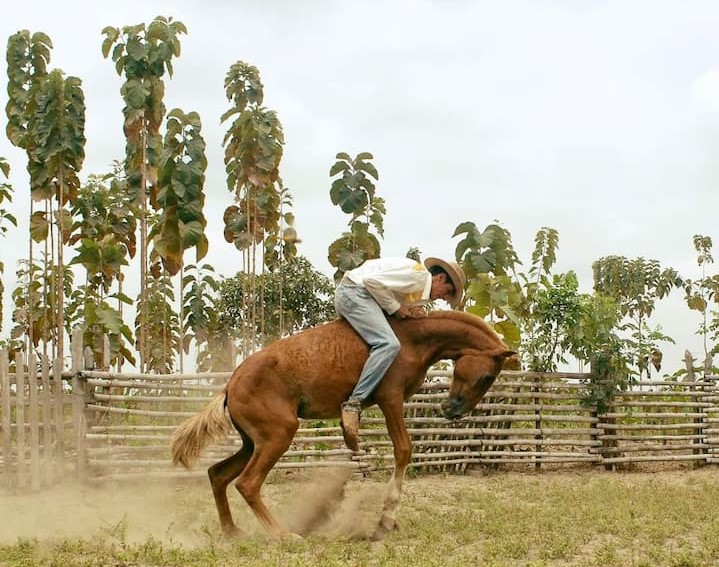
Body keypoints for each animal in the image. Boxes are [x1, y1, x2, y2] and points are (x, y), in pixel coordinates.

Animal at [172, 310, 516, 540]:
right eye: (487, 377)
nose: (453, 410)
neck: (411, 339)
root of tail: (230, 386)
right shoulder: (390, 399)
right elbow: (403, 450)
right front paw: (384, 522)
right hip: (277, 437)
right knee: (247, 483)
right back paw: (284, 535)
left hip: (252, 442)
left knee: (217, 475)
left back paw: (233, 533)